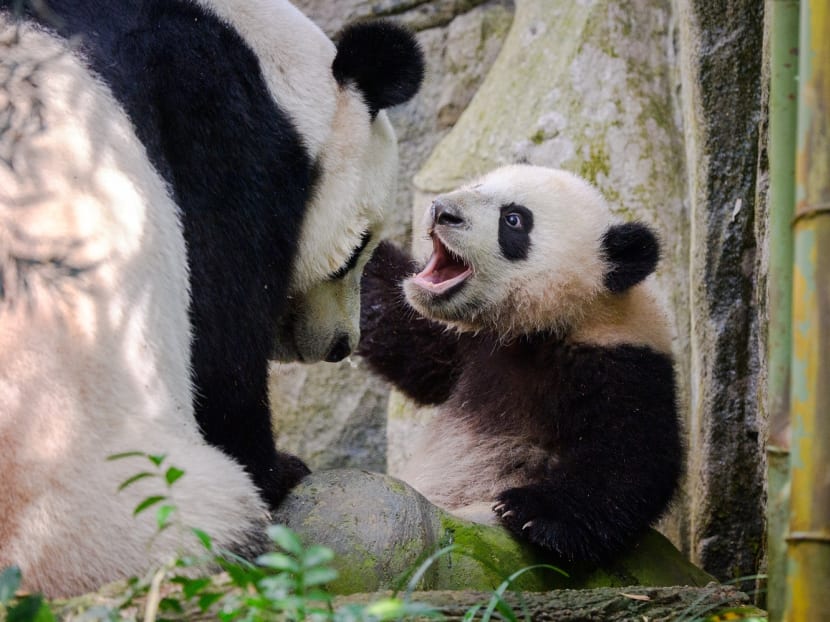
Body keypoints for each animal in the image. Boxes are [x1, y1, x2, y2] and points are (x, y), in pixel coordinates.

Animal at [360, 166, 684, 564]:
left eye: (513, 220)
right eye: (477, 184)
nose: (442, 211)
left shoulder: (623, 364)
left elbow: (632, 459)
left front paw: (533, 512)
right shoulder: (467, 345)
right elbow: (403, 335)